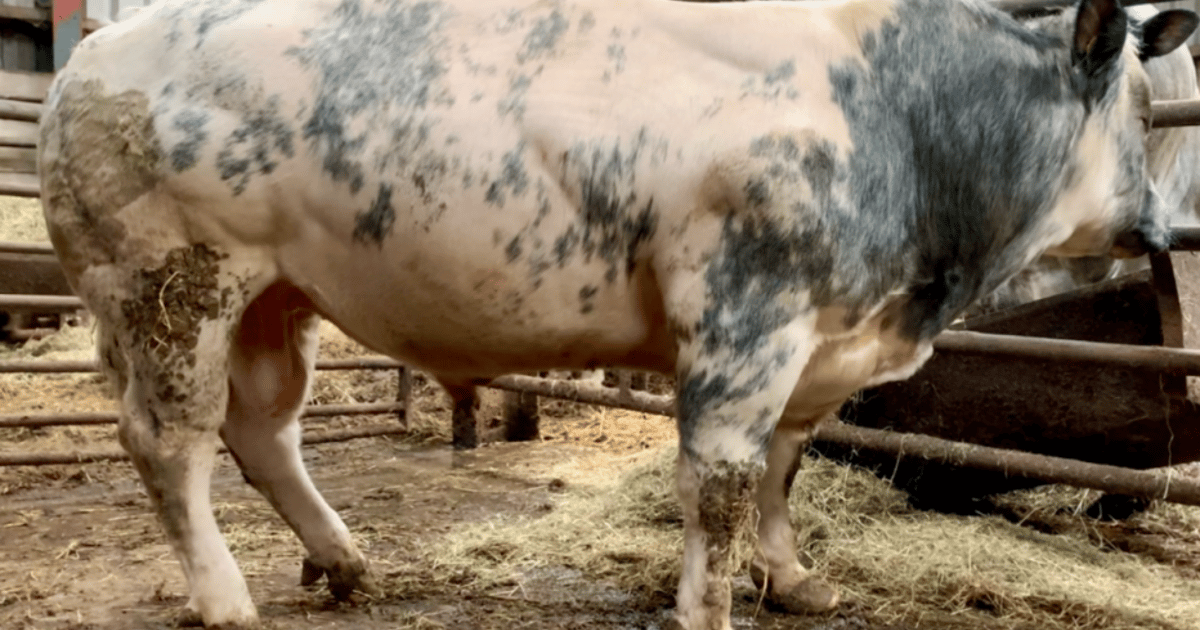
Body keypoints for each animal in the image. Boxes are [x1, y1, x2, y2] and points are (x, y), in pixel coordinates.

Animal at [36, 0, 1188, 628]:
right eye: (1143, 107)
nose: (1162, 226)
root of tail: (91, 53)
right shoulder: (744, 318)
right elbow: (722, 485)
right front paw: (708, 606)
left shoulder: (815, 343)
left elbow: (785, 468)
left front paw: (794, 580)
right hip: (170, 286)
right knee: (171, 442)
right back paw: (224, 594)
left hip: (281, 299)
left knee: (264, 431)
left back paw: (344, 560)